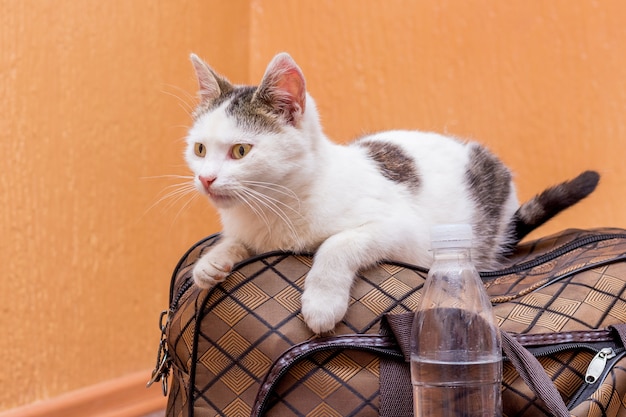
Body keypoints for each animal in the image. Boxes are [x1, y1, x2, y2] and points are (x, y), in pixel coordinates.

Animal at [183, 52, 596, 334]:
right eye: (199, 149)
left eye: (240, 151)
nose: (206, 179)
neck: (273, 209)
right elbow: (235, 241)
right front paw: (212, 262)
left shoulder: (403, 230)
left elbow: (338, 243)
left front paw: (322, 301)